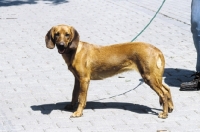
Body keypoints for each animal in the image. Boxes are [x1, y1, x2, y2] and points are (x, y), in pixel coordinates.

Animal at [45, 24, 173, 118]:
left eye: (67, 35)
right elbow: (74, 94)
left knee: (163, 93)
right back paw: (170, 108)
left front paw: (78, 112)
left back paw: (164, 113)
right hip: (154, 77)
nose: (61, 45)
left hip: (149, 77)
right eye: (56, 34)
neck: (74, 51)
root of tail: (157, 50)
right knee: (167, 89)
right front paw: (72, 106)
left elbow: (81, 98)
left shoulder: (84, 80)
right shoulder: (77, 79)